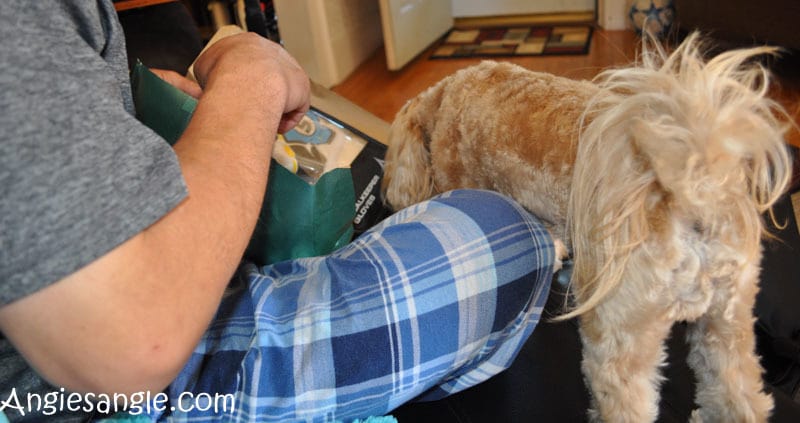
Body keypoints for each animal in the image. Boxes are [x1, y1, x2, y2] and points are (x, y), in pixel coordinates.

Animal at [382, 34, 792, 423]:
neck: (445, 99)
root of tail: (693, 187)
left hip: (618, 335)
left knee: (627, 400)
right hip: (728, 323)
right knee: (739, 394)